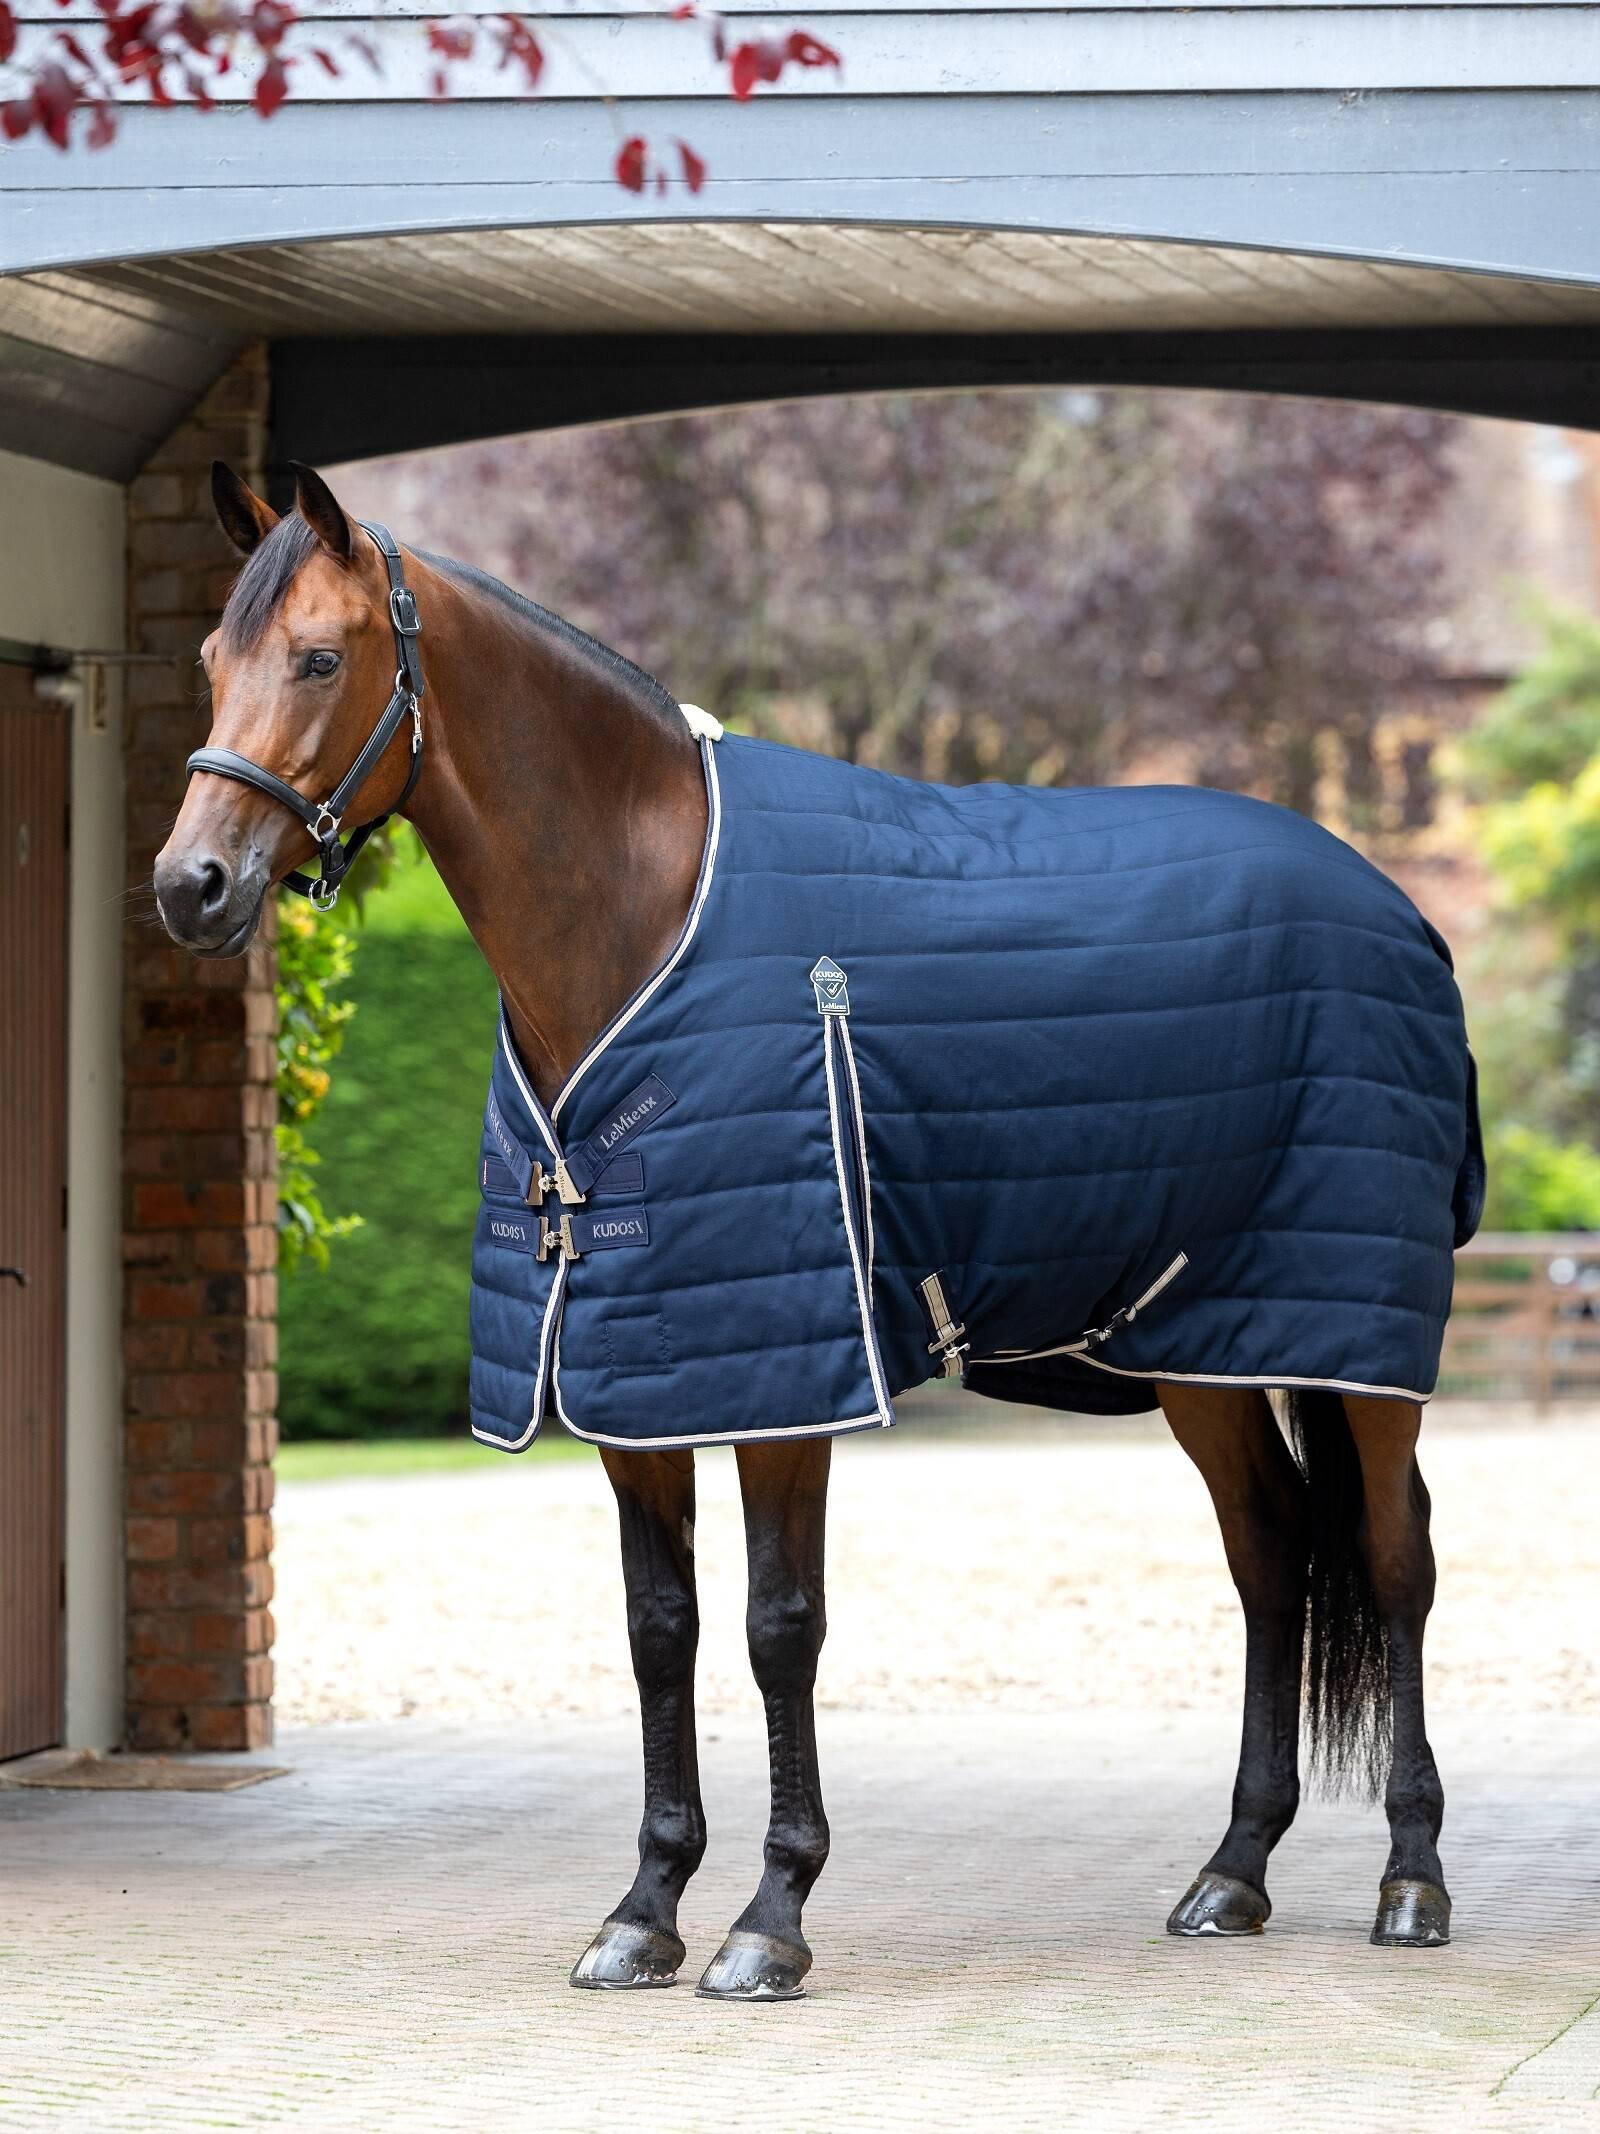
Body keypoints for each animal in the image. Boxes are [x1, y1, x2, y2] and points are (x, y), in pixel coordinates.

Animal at [154, 460, 1479, 2000]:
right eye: (211, 660)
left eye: (318, 656)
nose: (189, 886)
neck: (646, 914)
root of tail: (1398, 909)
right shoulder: (636, 1380)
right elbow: (659, 1630)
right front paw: (645, 1905)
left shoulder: (786, 1381)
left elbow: (779, 1627)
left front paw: (768, 1916)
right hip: (1194, 1339)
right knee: (1268, 1555)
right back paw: (1233, 1871)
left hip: (1354, 1343)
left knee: (1394, 1560)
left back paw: (1411, 1878)